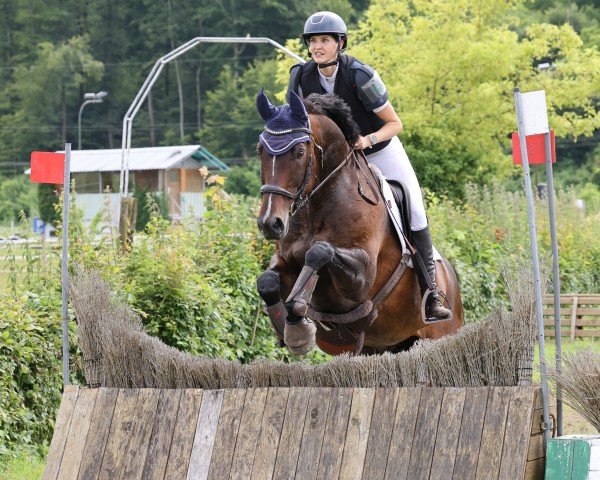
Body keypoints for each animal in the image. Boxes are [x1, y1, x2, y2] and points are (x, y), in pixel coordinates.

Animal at [255, 90, 462, 356]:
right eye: (260, 150)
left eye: (299, 152)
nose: (270, 223)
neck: (317, 208)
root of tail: (451, 277)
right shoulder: (286, 261)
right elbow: (267, 281)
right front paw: (292, 330)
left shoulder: (361, 278)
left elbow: (320, 251)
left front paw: (299, 314)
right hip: (382, 346)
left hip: (442, 333)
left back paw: (436, 306)